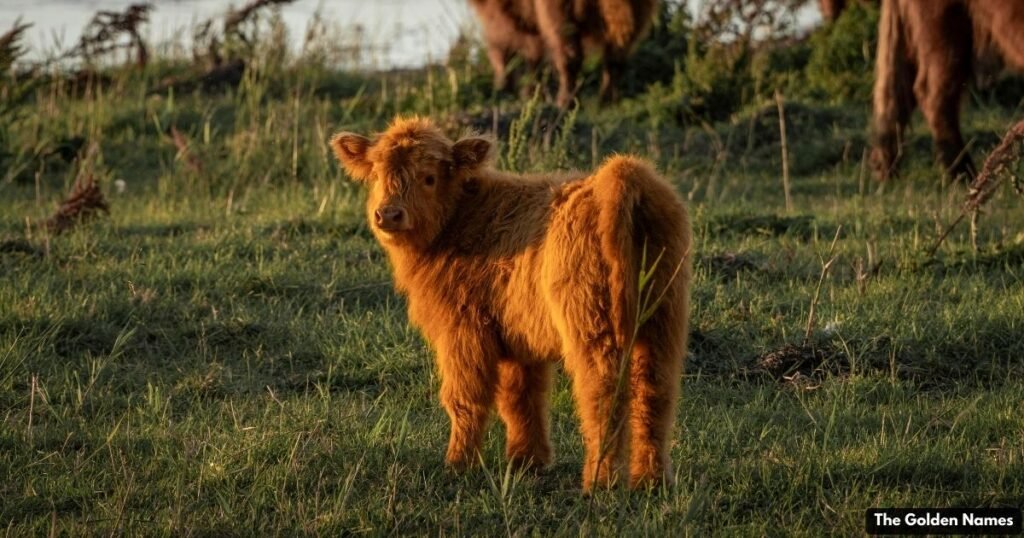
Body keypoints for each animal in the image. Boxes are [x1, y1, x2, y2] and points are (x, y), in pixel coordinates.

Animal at [329, 116, 691, 490]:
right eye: (375, 175)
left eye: (428, 177)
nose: (388, 215)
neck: (457, 221)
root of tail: (621, 175)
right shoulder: (518, 337)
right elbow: (521, 397)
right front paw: (527, 461)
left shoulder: (464, 329)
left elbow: (465, 396)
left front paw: (458, 463)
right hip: (663, 320)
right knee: (656, 391)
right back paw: (652, 480)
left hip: (593, 324)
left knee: (603, 392)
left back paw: (600, 481)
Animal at [468, 0, 658, 108]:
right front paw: (529, 92)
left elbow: (502, 47)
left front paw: (507, 88)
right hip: (638, 12)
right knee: (616, 58)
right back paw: (607, 100)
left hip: (559, 12)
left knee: (570, 56)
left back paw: (565, 102)